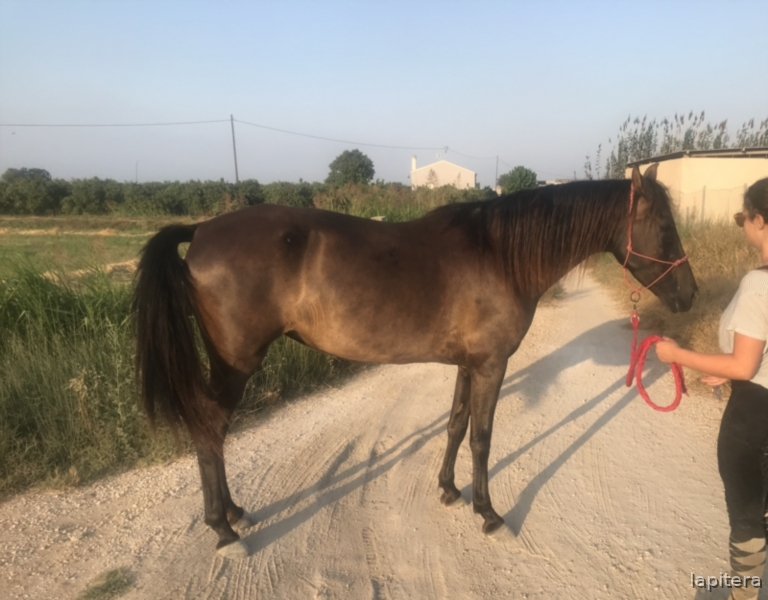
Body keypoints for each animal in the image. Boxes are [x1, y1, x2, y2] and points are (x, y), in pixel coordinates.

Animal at [132, 164, 697, 558]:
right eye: (665, 227)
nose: (690, 296)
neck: (501, 255)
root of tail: (202, 229)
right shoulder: (491, 365)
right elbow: (482, 438)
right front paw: (489, 513)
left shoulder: (469, 364)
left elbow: (455, 425)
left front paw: (448, 490)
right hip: (236, 364)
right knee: (210, 430)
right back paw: (224, 531)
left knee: (215, 433)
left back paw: (234, 514)